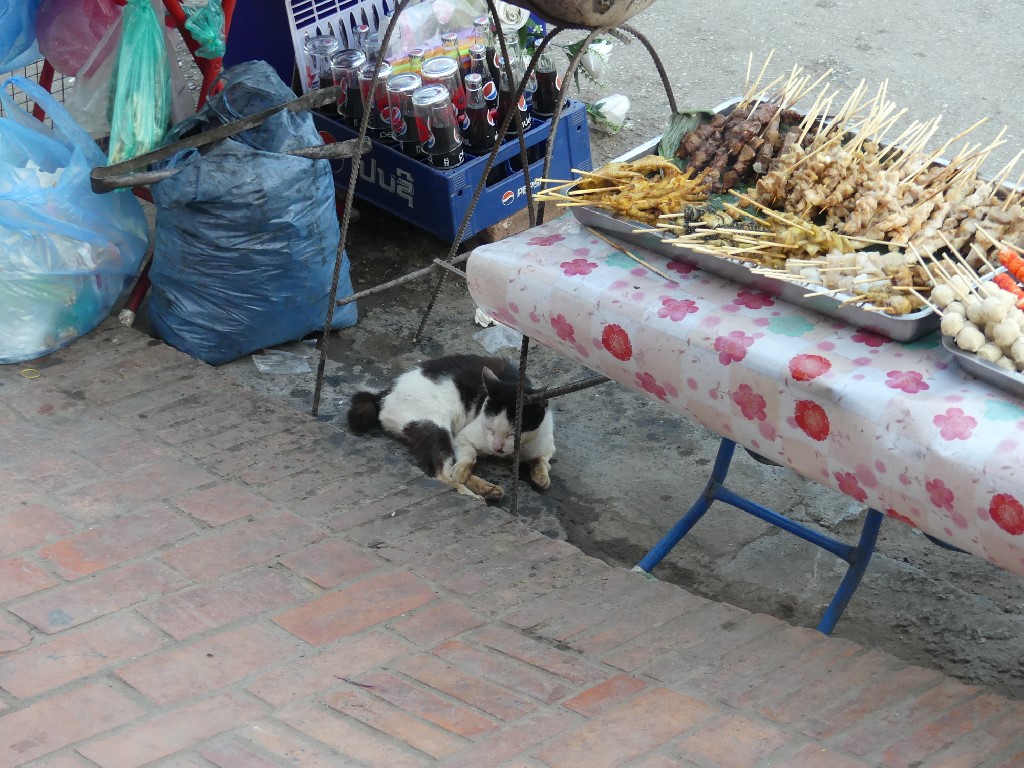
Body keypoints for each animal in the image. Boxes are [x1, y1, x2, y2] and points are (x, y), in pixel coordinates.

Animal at [347, 354, 555, 501]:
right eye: (490, 429)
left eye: (512, 434)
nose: (497, 447)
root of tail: (383, 394)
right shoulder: (465, 435)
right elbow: (468, 456)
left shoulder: (546, 442)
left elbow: (542, 459)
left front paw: (541, 475)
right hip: (435, 426)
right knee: (442, 473)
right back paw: (471, 493)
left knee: (448, 470)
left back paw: (487, 489)